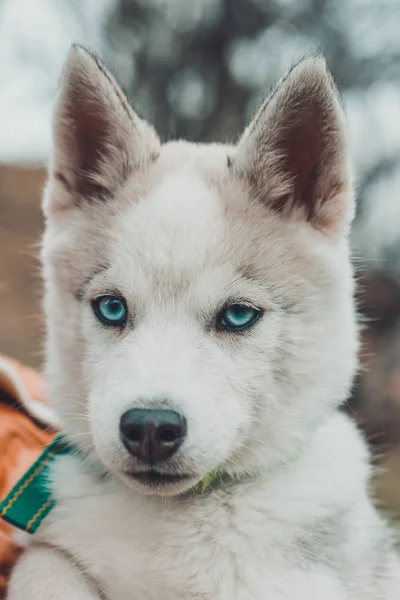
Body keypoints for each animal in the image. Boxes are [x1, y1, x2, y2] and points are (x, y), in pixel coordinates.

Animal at [6, 47, 400, 600]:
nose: (150, 427)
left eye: (237, 315)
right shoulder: (51, 549)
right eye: (111, 308)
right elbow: (45, 566)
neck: (177, 518)